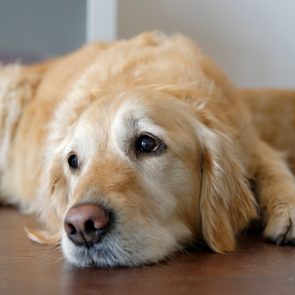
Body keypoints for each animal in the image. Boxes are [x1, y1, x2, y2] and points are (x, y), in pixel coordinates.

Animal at [0, 32, 294, 268]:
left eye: (146, 143)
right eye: (73, 161)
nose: (82, 225)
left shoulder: (249, 142)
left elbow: (273, 166)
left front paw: (288, 208)